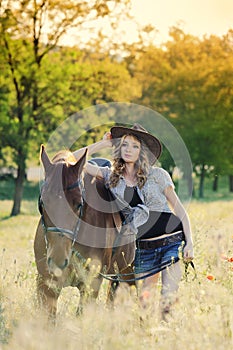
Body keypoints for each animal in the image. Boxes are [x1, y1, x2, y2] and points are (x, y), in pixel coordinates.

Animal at [33, 145, 134, 320]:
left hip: (129, 274)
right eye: (42, 203)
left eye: (79, 204)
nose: (58, 260)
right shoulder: (47, 286)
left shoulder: (91, 286)